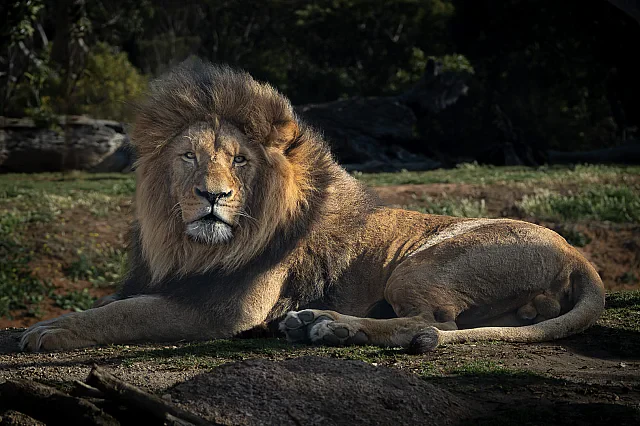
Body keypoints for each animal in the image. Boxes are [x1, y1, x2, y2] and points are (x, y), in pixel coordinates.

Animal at [21, 61, 605, 353]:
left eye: (240, 161)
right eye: (189, 157)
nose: (213, 196)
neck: (190, 248)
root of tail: (580, 257)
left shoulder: (226, 309)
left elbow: (128, 311)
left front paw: (52, 331)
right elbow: (116, 301)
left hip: (422, 263)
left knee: (433, 323)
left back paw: (327, 325)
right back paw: (312, 324)